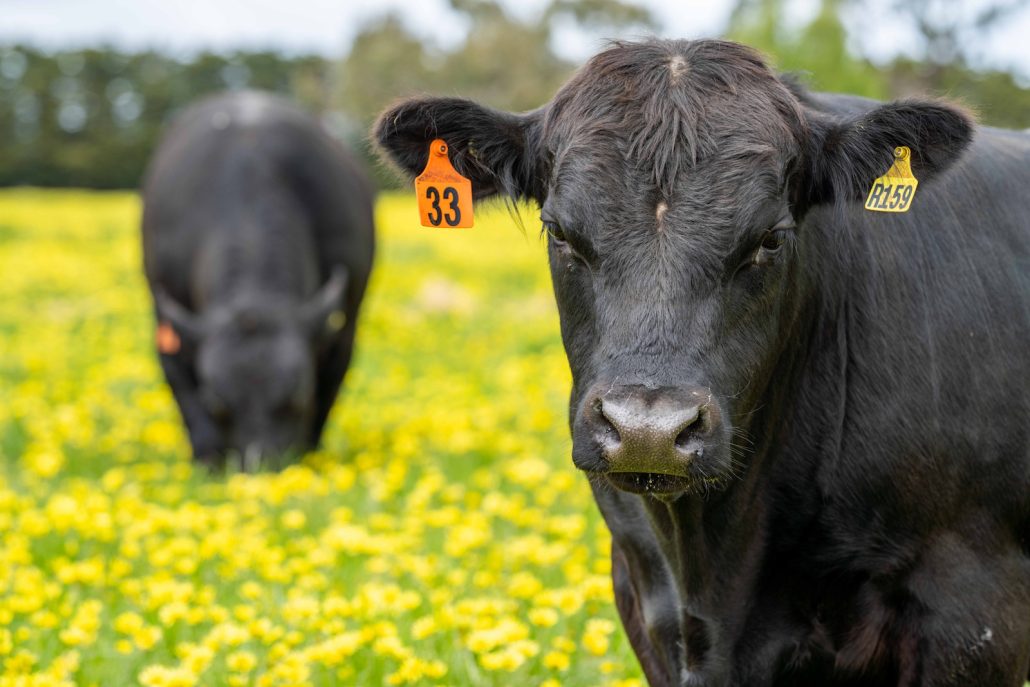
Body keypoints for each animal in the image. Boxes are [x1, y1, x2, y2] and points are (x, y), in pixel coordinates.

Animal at [143, 91, 374, 469]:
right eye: (217, 403)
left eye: (296, 397)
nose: (260, 465)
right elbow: (186, 397)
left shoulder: (346, 326)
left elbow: (328, 389)